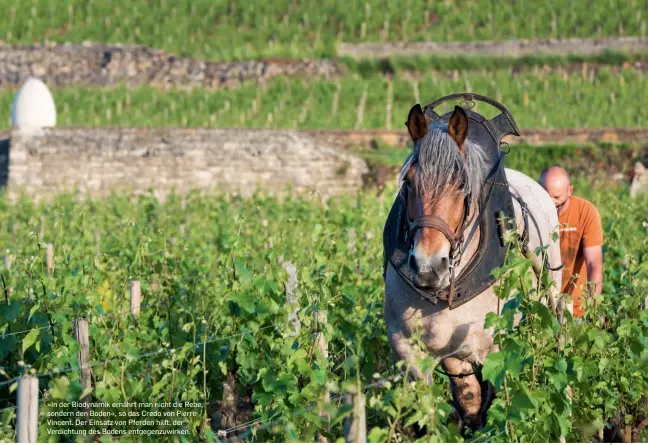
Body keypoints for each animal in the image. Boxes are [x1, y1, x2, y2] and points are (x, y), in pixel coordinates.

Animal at [382, 103, 568, 430]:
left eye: (460, 184)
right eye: (408, 182)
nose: (428, 266)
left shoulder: (495, 348)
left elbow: (492, 406)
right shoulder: (408, 349)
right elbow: (433, 410)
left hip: (551, 291)